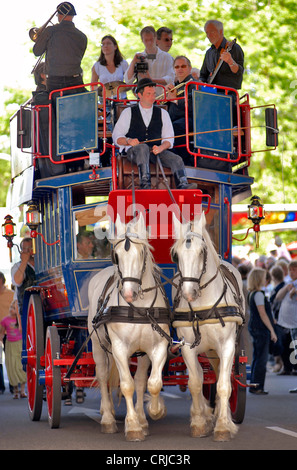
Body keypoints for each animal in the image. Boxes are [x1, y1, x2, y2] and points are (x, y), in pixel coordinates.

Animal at [88, 213, 170, 440]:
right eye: (116, 256)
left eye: (142, 252)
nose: (129, 293)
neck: (138, 309)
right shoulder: (119, 348)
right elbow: (126, 385)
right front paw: (132, 425)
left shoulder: (156, 347)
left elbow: (151, 383)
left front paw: (153, 412)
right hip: (98, 346)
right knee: (103, 377)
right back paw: (107, 418)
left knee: (140, 380)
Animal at [170, 212, 244, 440]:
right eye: (176, 255)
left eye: (201, 251)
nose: (189, 293)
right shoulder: (186, 347)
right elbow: (195, 383)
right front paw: (200, 423)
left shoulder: (227, 346)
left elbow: (224, 385)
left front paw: (223, 426)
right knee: (204, 376)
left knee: (223, 376)